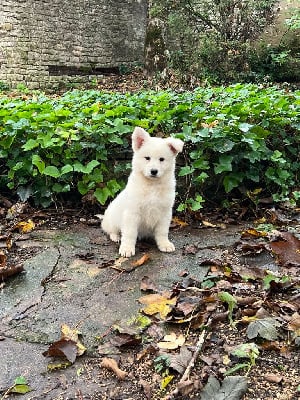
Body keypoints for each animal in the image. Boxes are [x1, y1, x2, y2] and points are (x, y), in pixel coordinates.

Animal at [102, 127, 184, 256]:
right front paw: (127, 248)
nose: (154, 171)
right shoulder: (132, 213)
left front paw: (164, 244)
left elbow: (162, 232)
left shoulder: (164, 213)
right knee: (111, 230)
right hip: (112, 219)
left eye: (161, 159)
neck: (152, 186)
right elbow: (129, 233)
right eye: (147, 158)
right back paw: (116, 237)